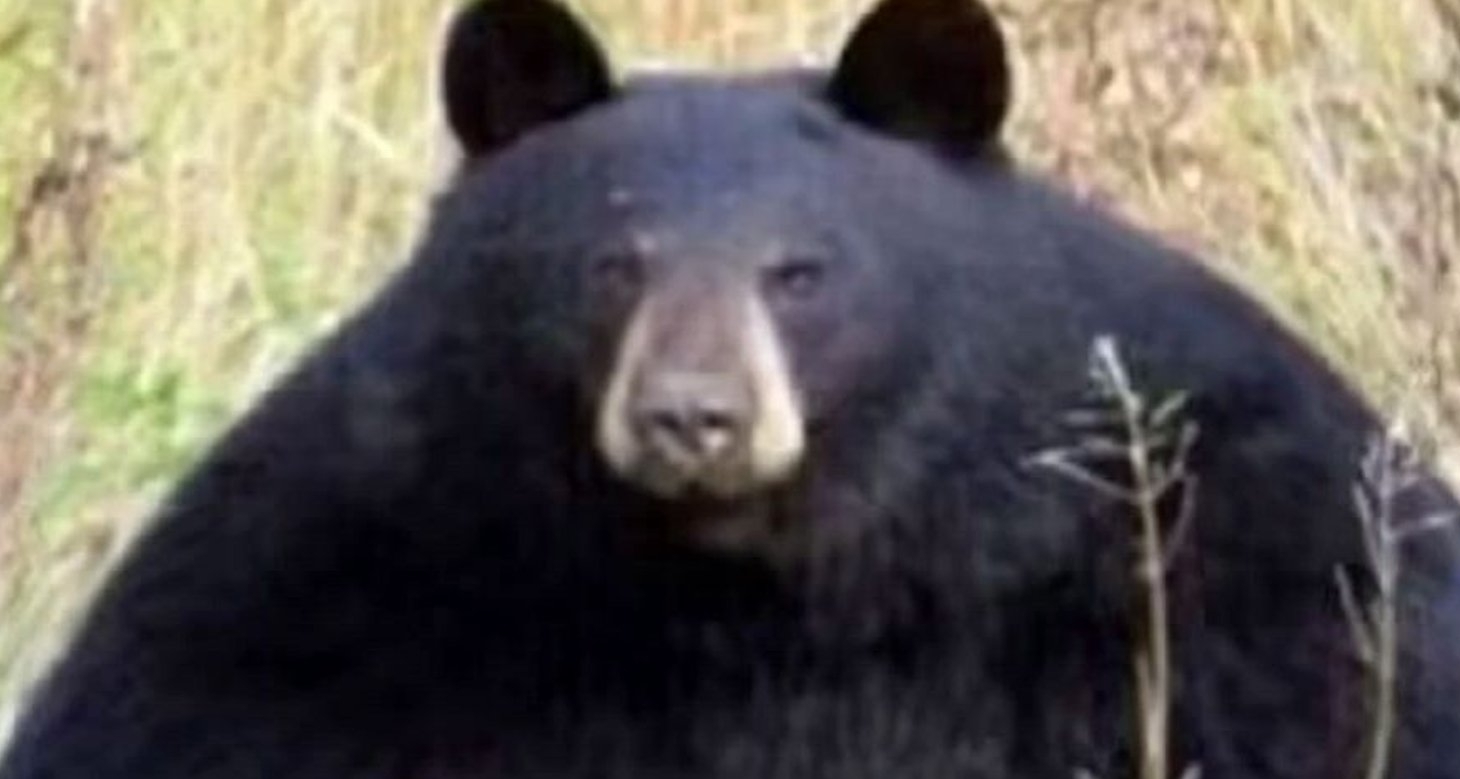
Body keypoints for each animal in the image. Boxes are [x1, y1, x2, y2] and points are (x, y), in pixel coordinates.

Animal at [3, 0, 1458, 776]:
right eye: (611, 263)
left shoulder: (1234, 560)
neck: (761, 585)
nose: (693, 414)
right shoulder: (335, 576)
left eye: (799, 272)